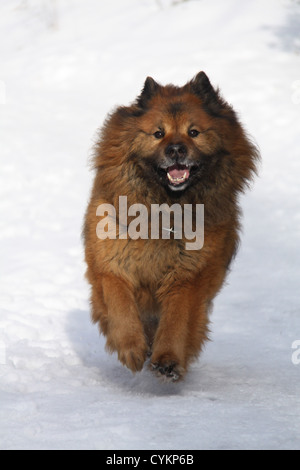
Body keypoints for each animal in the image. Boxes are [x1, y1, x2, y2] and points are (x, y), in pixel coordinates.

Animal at [83, 72, 258, 382]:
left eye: (194, 132)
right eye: (158, 133)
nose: (176, 149)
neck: (165, 209)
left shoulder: (188, 276)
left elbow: (177, 319)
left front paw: (167, 360)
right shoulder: (110, 265)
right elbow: (119, 304)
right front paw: (131, 348)